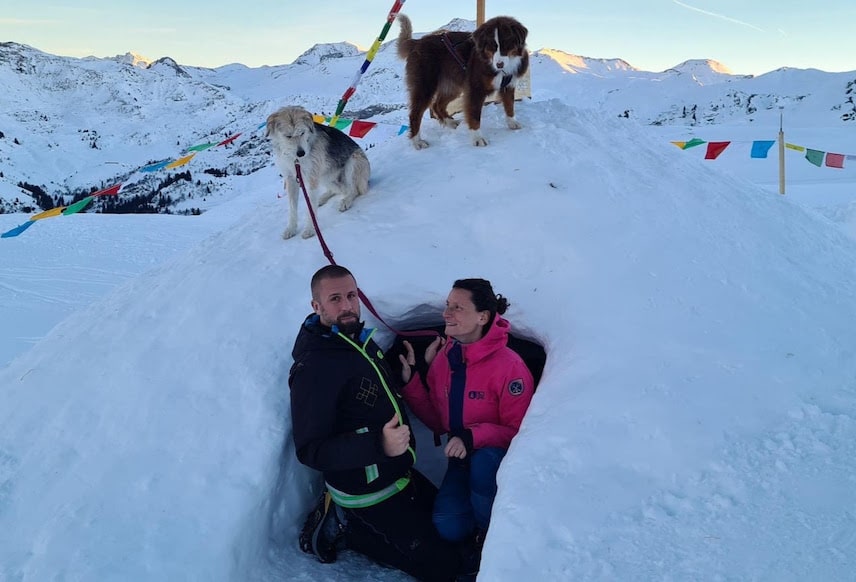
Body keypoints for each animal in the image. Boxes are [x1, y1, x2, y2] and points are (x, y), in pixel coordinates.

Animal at [266, 105, 370, 240]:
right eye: (288, 136)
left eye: (302, 132)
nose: (301, 153)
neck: (295, 159)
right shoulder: (290, 178)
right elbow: (292, 208)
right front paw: (291, 229)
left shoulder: (311, 178)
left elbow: (310, 207)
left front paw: (310, 229)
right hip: (325, 176)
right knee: (339, 190)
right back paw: (323, 198)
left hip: (354, 162)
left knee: (353, 190)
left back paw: (345, 201)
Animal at [396, 15, 528, 149]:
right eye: (491, 45)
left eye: (507, 44)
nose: (499, 65)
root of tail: (417, 42)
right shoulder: (475, 89)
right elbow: (475, 116)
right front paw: (477, 138)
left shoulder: (509, 85)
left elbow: (510, 105)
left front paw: (512, 122)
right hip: (425, 86)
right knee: (415, 114)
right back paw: (417, 141)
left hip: (452, 87)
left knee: (437, 105)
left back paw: (451, 122)